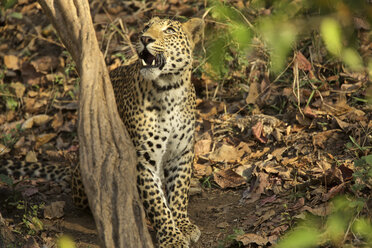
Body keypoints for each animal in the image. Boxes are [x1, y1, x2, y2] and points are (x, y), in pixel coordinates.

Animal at [0, 16, 203, 247]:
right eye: (146, 27)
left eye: (169, 30)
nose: (144, 38)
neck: (170, 91)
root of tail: (73, 168)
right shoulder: (143, 159)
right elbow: (156, 203)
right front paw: (171, 237)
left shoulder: (182, 152)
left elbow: (179, 192)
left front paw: (183, 225)